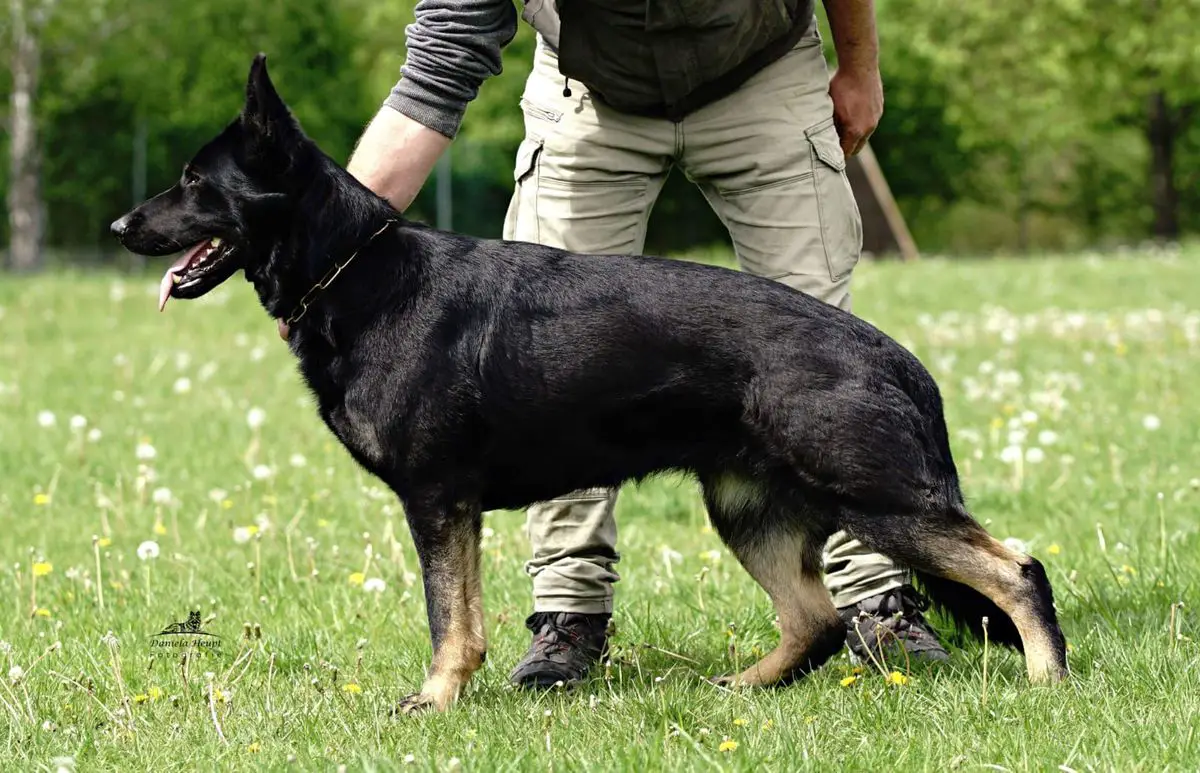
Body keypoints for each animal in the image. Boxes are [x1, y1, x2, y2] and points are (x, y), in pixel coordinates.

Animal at [110, 57, 1070, 715]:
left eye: (194, 182)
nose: (120, 225)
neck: (355, 270)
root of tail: (896, 357)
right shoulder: (451, 506)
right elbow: (462, 614)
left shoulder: (437, 501)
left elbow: (449, 617)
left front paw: (435, 699)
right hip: (747, 509)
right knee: (816, 618)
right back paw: (743, 686)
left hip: (876, 501)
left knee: (1015, 568)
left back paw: (1046, 678)